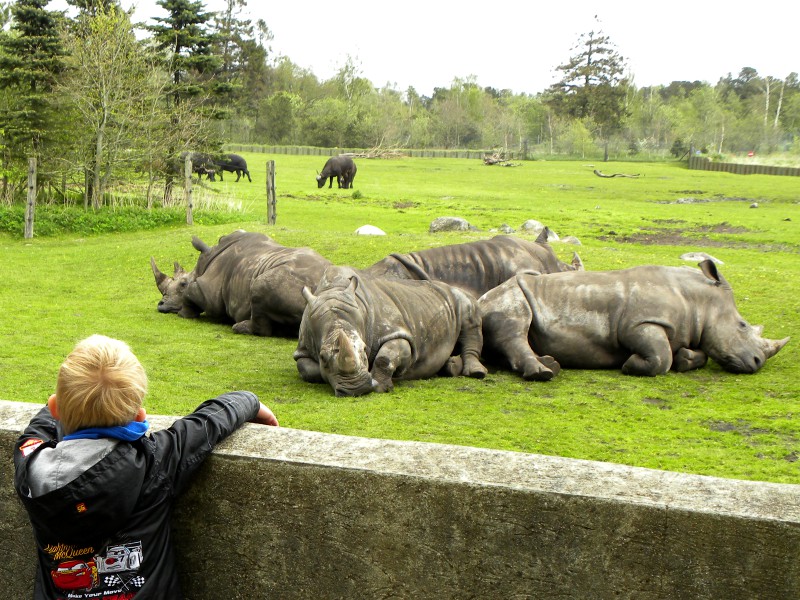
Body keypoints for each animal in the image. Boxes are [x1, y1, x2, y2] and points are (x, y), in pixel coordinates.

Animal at [150, 229, 332, 336]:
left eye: (182, 284)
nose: (161, 304)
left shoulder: (207, 292)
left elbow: (192, 293)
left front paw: (184, 313)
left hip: (290, 283)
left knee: (259, 285)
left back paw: (240, 327)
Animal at [292, 264, 484, 396]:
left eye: (364, 349)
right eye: (323, 357)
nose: (356, 389)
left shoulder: (397, 332)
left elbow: (385, 357)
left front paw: (380, 386)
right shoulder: (303, 349)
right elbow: (308, 371)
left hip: (462, 298)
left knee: (469, 321)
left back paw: (476, 373)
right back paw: (450, 367)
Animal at [476, 258, 788, 380]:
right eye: (743, 326)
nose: (757, 363)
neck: (696, 301)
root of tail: (481, 299)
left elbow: (695, 354)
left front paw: (686, 359)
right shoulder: (640, 323)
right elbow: (661, 357)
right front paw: (630, 365)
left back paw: (550, 364)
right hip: (508, 295)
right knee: (515, 325)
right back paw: (544, 373)